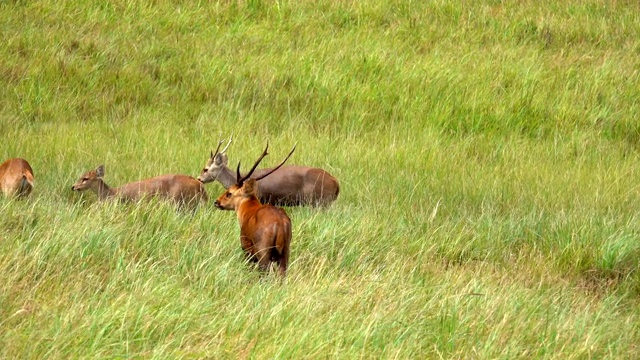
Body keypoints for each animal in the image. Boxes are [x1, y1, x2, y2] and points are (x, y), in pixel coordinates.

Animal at [72, 165, 208, 210]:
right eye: (80, 176)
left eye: (85, 178)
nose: (73, 187)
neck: (110, 193)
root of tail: (199, 185)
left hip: (179, 201)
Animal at [214, 142, 296, 278]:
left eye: (229, 193)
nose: (216, 202)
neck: (246, 212)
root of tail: (280, 225)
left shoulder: (246, 247)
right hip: (285, 251)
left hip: (263, 250)